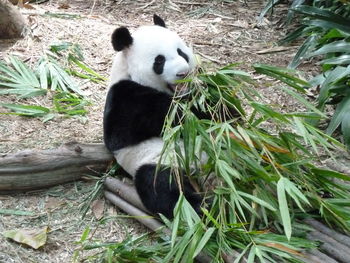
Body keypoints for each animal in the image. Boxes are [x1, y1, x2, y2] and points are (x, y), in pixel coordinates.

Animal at [102, 15, 204, 220]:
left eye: (181, 52)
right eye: (159, 61)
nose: (183, 72)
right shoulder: (122, 94)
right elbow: (118, 134)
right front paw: (179, 114)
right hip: (160, 162)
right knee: (162, 186)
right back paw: (201, 206)